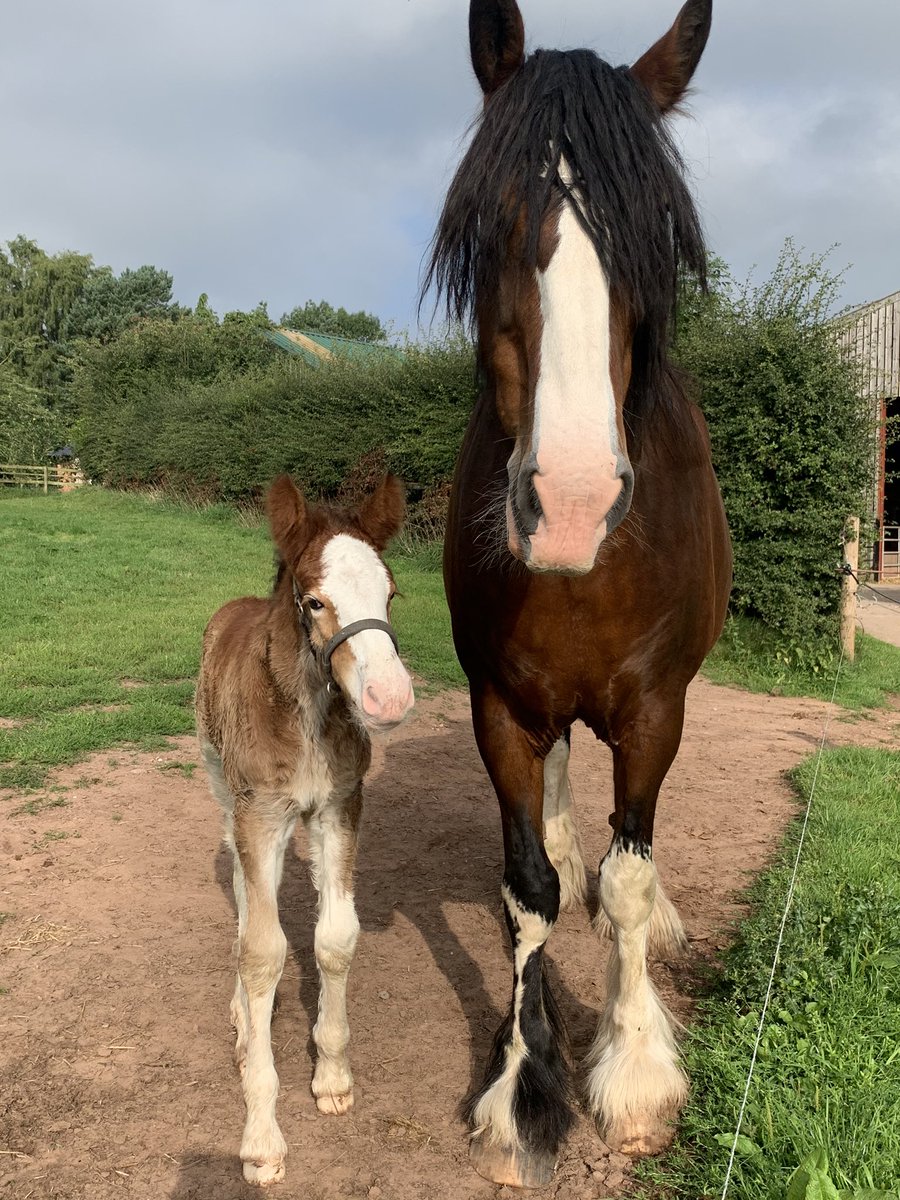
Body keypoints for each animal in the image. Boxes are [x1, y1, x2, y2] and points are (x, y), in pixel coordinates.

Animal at [195, 474, 414, 1185]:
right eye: (315, 601)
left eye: (390, 594)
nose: (390, 698)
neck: (307, 717)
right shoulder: (259, 814)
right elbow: (263, 950)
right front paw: (262, 1137)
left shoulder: (338, 807)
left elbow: (336, 937)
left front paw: (333, 1078)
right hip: (223, 789)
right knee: (243, 894)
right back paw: (241, 1019)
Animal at [425, 0, 732, 1186]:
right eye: (486, 226)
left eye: (662, 242)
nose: (569, 503)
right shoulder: (502, 708)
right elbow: (530, 888)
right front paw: (525, 1086)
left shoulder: (656, 709)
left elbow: (630, 882)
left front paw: (635, 1074)